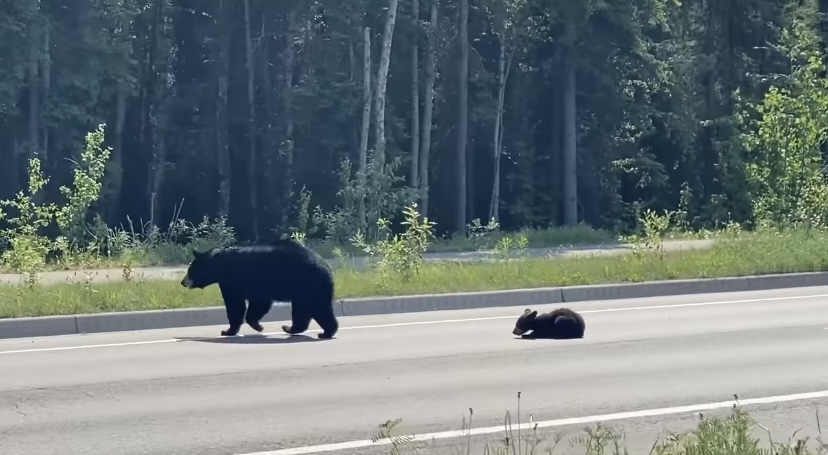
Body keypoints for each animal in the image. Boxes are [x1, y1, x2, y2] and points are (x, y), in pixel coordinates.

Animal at [180, 239, 338, 338]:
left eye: (190, 270)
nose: (183, 282)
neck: (219, 265)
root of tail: (327, 267)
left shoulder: (233, 281)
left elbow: (237, 305)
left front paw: (229, 330)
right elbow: (256, 303)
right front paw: (255, 325)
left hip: (309, 285)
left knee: (316, 308)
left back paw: (321, 332)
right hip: (307, 290)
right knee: (305, 309)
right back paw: (297, 329)